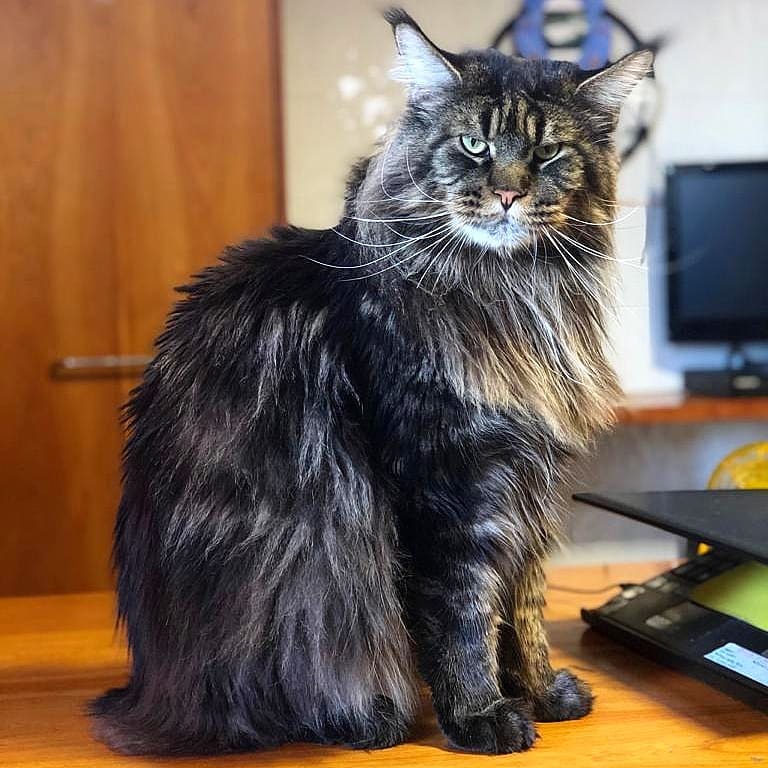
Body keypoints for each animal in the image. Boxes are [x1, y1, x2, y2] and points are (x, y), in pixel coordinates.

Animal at [91, 7, 656, 756]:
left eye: (547, 155)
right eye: (474, 145)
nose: (508, 192)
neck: (512, 294)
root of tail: (146, 693)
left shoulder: (528, 484)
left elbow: (525, 606)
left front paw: (543, 693)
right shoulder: (445, 482)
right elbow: (465, 614)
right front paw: (481, 716)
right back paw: (372, 718)